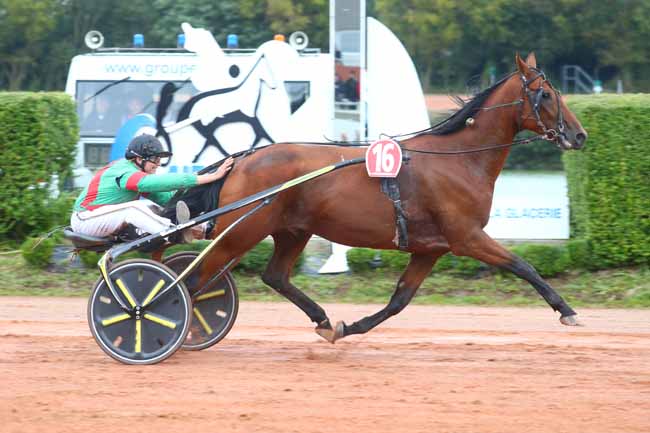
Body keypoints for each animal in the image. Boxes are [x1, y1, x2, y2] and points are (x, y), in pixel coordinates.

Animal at [191, 53, 584, 340]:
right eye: (546, 94)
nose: (579, 135)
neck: (459, 159)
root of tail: (242, 159)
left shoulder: (430, 249)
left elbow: (400, 300)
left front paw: (348, 328)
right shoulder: (467, 237)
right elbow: (522, 265)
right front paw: (567, 311)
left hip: (293, 230)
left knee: (275, 276)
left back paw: (322, 319)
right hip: (241, 233)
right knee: (196, 280)